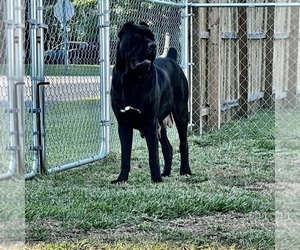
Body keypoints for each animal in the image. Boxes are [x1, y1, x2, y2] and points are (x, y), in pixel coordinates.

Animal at [110, 20, 192, 183]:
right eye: (137, 36)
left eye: (151, 36)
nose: (153, 45)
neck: (131, 79)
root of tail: (171, 58)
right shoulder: (124, 124)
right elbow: (125, 156)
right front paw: (121, 178)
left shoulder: (149, 123)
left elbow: (153, 155)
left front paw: (156, 179)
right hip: (160, 125)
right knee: (168, 148)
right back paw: (165, 173)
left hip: (180, 114)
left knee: (183, 143)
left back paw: (185, 170)